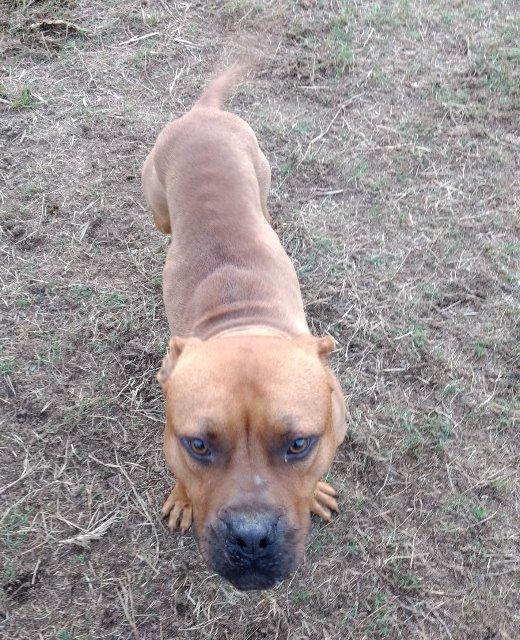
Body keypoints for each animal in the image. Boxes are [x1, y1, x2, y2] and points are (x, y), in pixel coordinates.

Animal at [142, 65, 346, 592]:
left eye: (298, 444)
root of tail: (203, 112)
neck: (240, 320)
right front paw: (182, 497)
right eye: (198, 445)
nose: (251, 538)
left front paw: (316, 491)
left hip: (260, 172)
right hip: (159, 204)